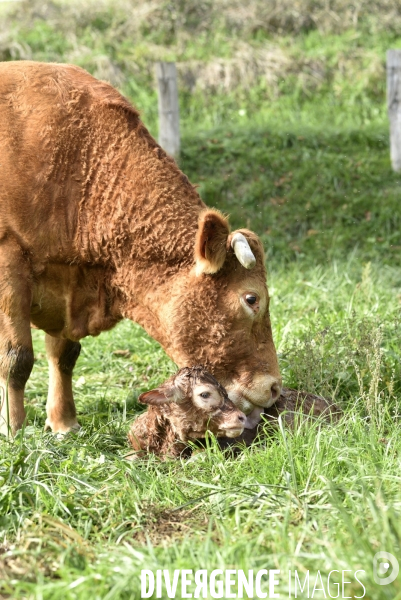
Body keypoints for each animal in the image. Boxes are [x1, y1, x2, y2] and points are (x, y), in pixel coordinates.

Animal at [0, 62, 282, 436]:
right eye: (251, 298)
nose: (274, 386)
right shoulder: (9, 263)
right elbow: (17, 358)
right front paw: (13, 430)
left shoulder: (67, 288)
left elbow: (63, 354)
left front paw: (64, 421)